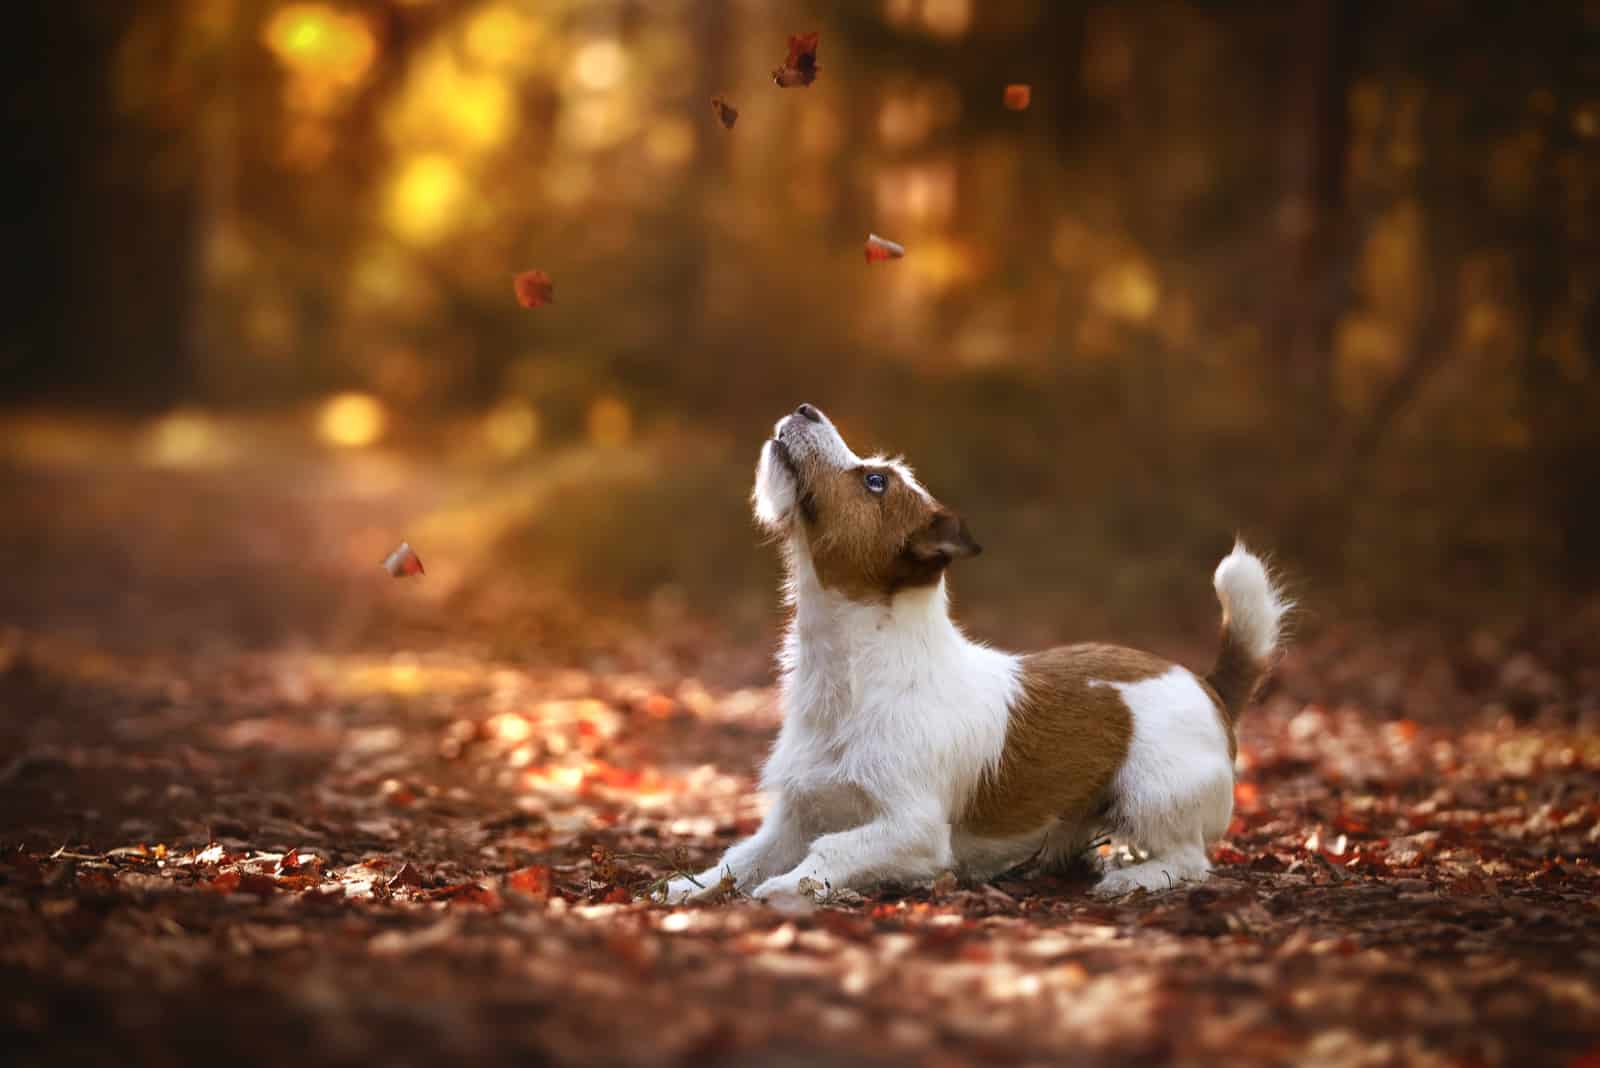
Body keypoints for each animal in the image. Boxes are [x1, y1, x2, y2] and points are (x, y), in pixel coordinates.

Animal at [662, 404, 1286, 908]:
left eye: (875, 482)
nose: (805, 408)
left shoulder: (911, 829)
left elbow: (830, 852)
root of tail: (1208, 684)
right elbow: (740, 857)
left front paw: (789, 888)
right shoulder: (795, 815)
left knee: (1188, 861)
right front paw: (685, 888)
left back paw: (1134, 878)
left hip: (1153, 791)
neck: (853, 670)